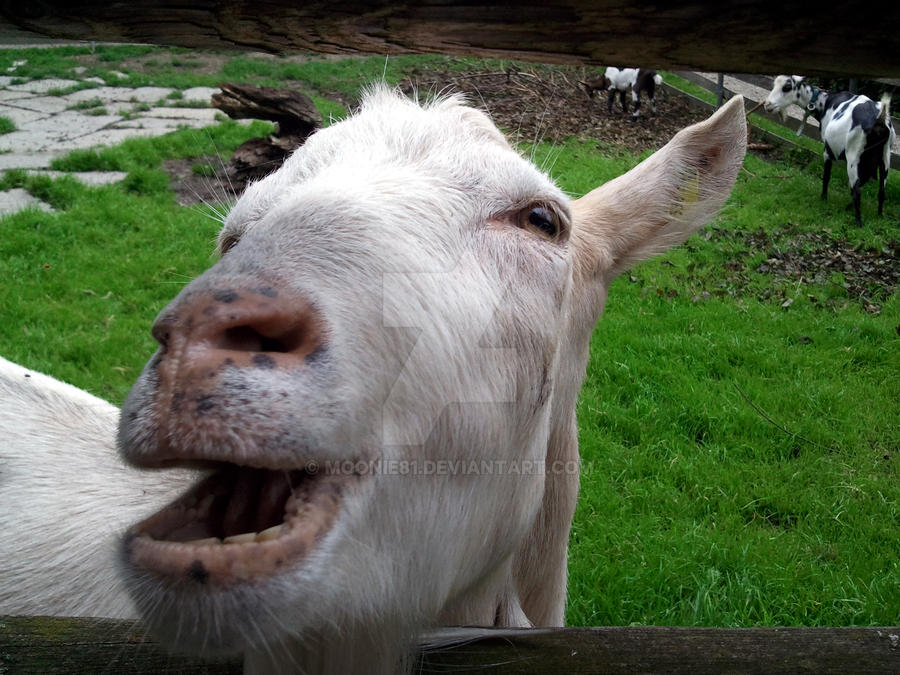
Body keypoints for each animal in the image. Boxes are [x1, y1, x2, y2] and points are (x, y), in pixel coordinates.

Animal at [764, 75, 895, 226]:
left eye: (787, 87)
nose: (767, 104)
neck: (825, 103)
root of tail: (880, 119)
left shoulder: (827, 151)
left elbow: (826, 176)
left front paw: (823, 198)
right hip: (885, 156)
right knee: (881, 190)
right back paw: (878, 216)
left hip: (853, 155)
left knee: (857, 190)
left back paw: (859, 223)